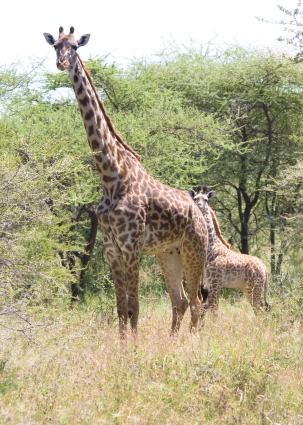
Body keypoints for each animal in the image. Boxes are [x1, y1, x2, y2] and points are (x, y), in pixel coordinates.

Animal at [43, 26, 209, 338]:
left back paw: (191, 343)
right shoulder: (111, 248)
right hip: (168, 253)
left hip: (195, 250)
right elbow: (121, 308)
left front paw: (134, 347)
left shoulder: (132, 247)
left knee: (196, 303)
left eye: (75, 46)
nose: (61, 62)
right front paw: (123, 346)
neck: (111, 177)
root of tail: (201, 214)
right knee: (180, 301)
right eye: (56, 45)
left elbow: (135, 308)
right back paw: (172, 342)